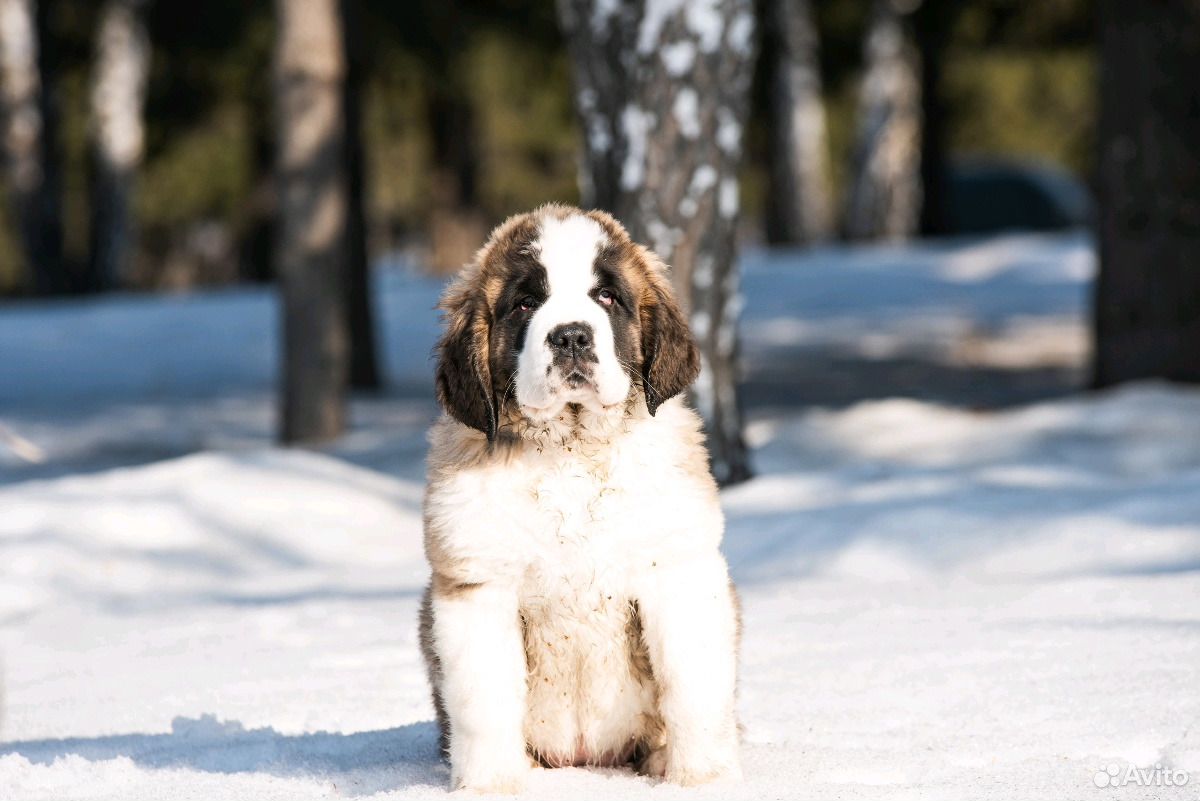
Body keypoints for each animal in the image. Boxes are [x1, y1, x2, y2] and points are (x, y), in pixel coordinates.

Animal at [420, 203, 739, 791]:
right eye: (525, 303)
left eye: (607, 296)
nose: (570, 337)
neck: (570, 451)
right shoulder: (479, 584)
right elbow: (484, 699)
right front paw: (490, 785)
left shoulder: (677, 569)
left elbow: (693, 686)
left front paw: (703, 779)